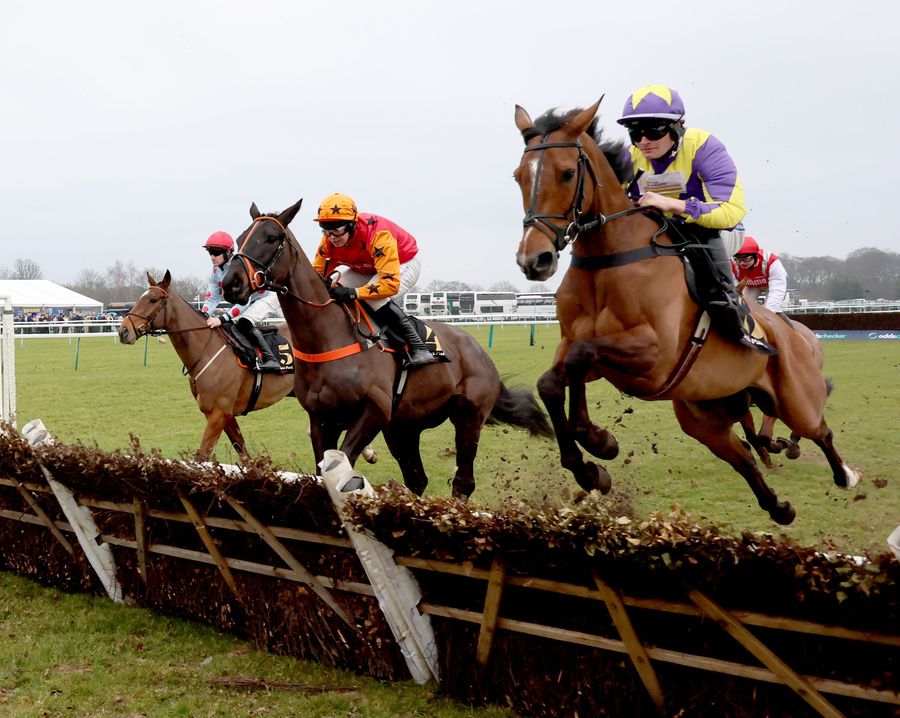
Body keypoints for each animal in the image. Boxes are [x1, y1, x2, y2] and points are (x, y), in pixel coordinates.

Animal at [512, 101, 856, 524]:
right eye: (518, 177)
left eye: (566, 172)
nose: (534, 260)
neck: (607, 259)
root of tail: (796, 332)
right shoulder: (586, 351)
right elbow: (552, 381)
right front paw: (593, 465)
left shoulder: (653, 355)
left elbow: (580, 357)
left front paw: (599, 442)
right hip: (702, 415)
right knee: (745, 457)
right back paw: (779, 507)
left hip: (795, 401)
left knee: (820, 431)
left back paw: (845, 475)